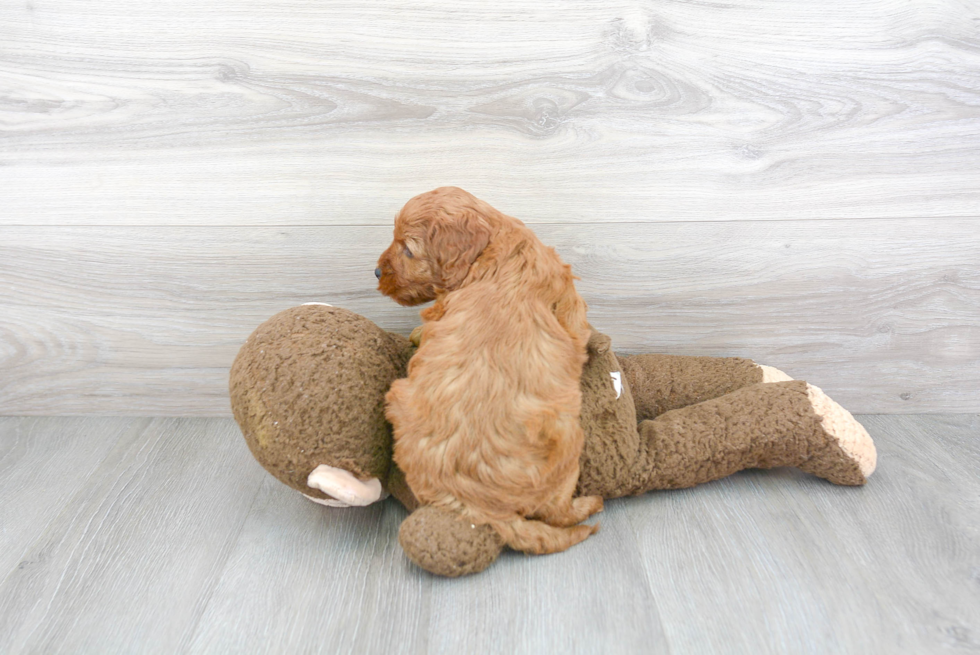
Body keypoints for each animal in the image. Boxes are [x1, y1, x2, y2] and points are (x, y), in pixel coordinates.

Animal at [378, 187, 600, 556]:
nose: (376, 272)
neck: (495, 249)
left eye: (407, 250)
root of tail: (482, 509)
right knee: (557, 513)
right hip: (569, 447)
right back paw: (591, 505)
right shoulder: (570, 308)